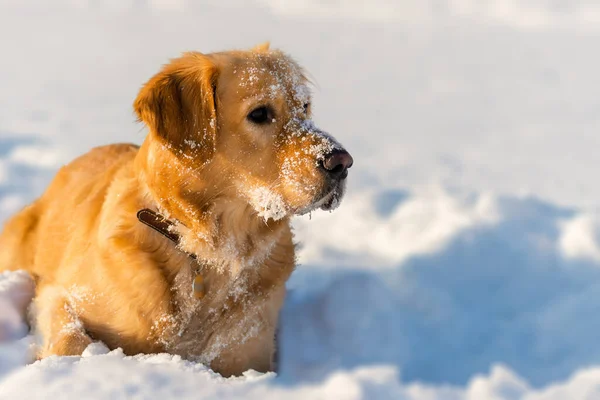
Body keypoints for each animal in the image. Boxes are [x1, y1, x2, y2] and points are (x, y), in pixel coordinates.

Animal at [0, 42, 352, 376]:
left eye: (304, 107)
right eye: (260, 113)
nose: (341, 162)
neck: (205, 251)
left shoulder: (248, 357)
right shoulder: (56, 294)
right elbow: (71, 340)